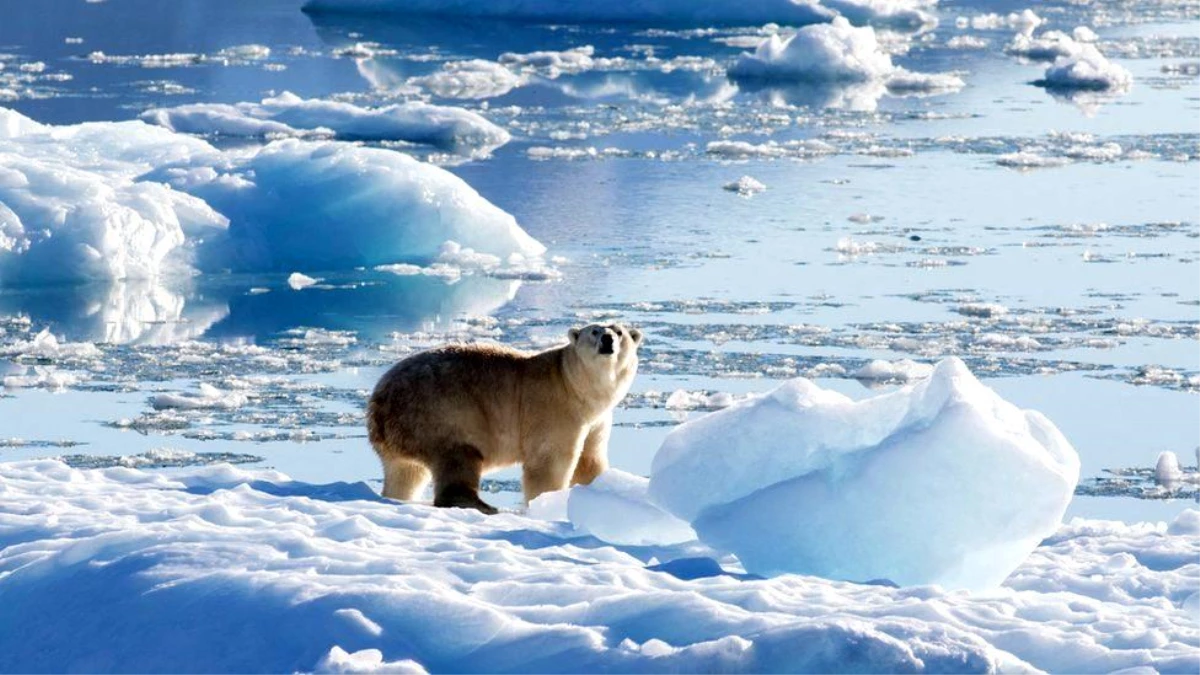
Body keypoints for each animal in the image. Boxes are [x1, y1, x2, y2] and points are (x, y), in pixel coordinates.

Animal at [367, 324, 643, 511]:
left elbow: (590, 460)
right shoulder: (554, 409)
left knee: (405, 472)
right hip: (440, 412)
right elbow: (549, 462)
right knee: (458, 456)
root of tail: (378, 401)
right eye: (594, 331)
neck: (573, 384)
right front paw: (547, 503)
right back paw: (484, 506)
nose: (607, 339)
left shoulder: (597, 420)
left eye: (619, 331)